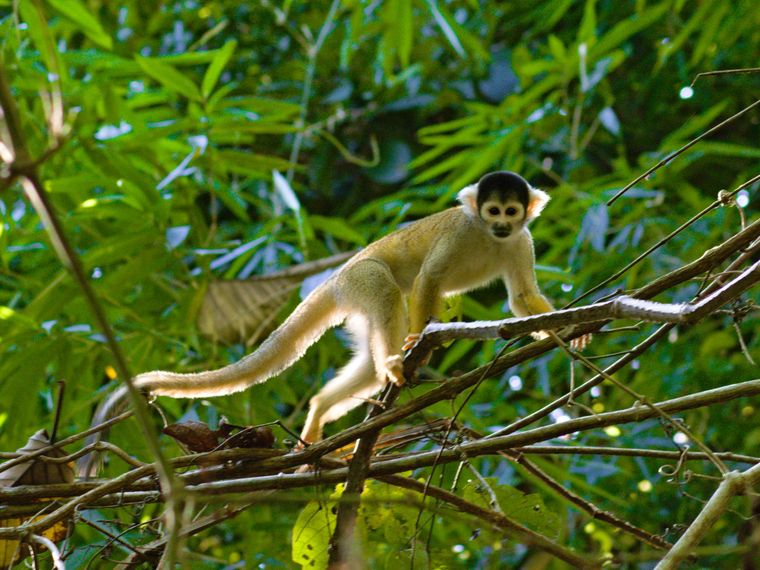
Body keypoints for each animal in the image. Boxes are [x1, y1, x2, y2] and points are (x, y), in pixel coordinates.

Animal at [88, 171, 575, 449]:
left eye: (511, 211)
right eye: (491, 210)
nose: (501, 223)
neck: (487, 237)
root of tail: (335, 279)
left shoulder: (521, 240)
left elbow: (521, 300)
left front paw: (565, 331)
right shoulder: (460, 231)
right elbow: (427, 281)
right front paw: (419, 336)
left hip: (355, 303)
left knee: (366, 368)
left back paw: (324, 407)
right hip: (361, 279)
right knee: (388, 293)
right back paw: (394, 361)